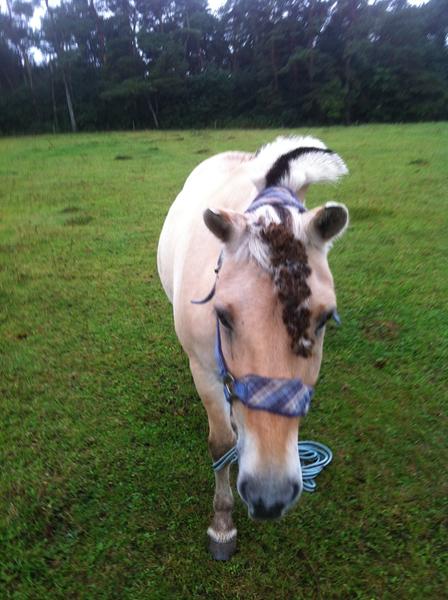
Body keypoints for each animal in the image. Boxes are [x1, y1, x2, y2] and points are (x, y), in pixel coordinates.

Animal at [158, 135, 350, 556]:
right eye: (223, 316)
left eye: (324, 318)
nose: (269, 495)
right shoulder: (203, 368)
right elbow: (221, 443)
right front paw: (222, 525)